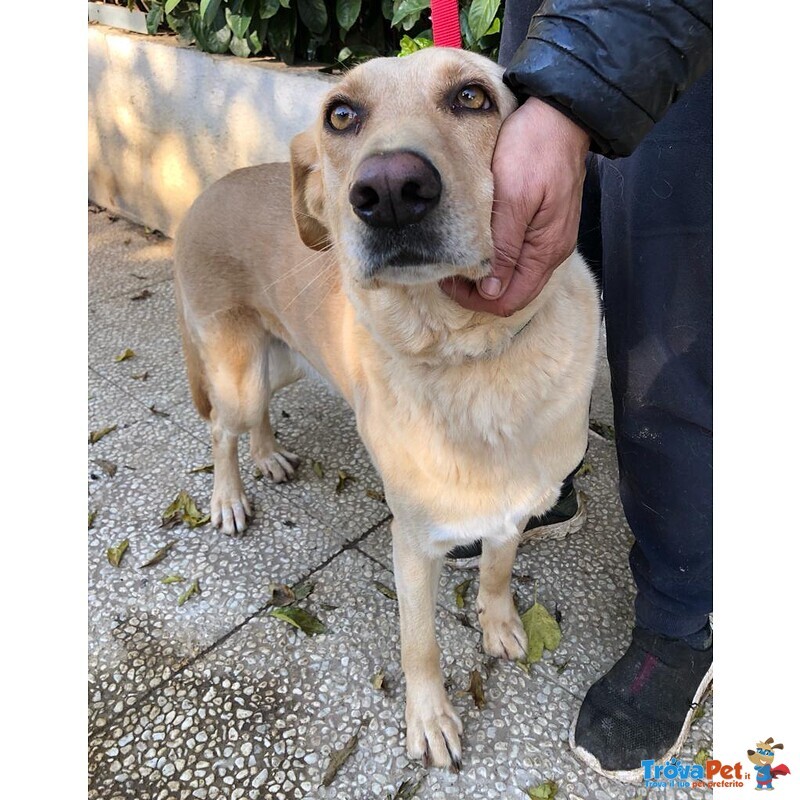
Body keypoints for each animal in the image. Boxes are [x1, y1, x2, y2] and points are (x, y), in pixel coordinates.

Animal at [175, 47, 600, 772]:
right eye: (341, 114)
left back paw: (268, 454)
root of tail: (205, 193)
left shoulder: (514, 510)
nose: (391, 189)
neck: (469, 359)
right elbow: (419, 645)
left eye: (472, 97)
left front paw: (498, 624)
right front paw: (429, 720)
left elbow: (497, 571)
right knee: (219, 429)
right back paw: (229, 496)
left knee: (255, 418)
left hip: (285, 359)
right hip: (240, 375)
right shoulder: (413, 542)